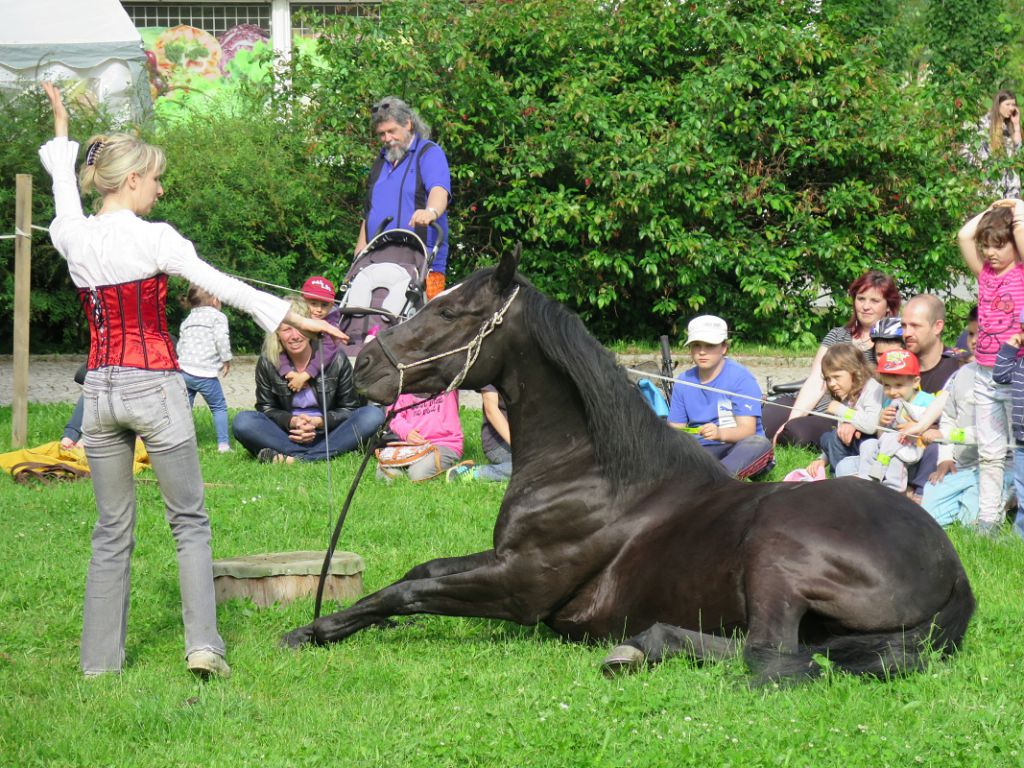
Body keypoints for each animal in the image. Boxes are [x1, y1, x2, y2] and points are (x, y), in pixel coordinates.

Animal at [282, 248, 976, 685]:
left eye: (453, 312)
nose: (363, 369)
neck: (593, 472)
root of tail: (953, 569)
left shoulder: (519, 586)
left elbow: (408, 587)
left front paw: (311, 630)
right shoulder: (504, 563)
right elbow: (420, 572)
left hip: (776, 556)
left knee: (774, 659)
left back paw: (639, 646)